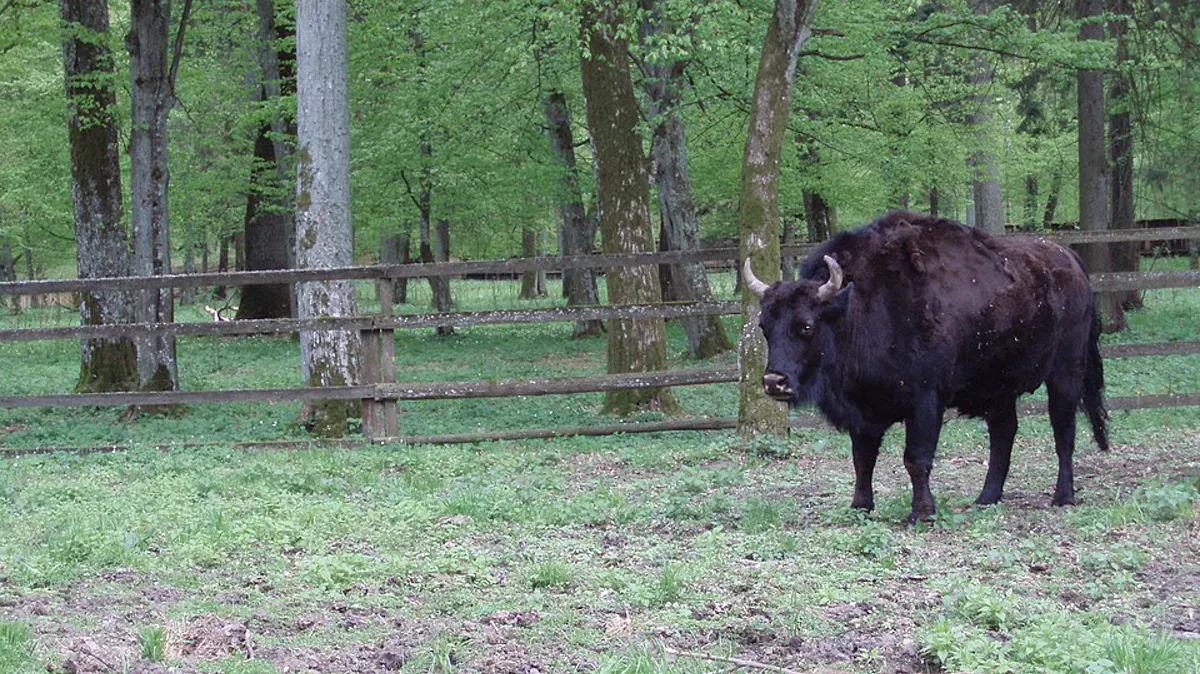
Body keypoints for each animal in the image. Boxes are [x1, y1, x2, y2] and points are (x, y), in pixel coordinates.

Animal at [743, 212, 1108, 522]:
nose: (774, 381)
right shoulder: (863, 409)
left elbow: (916, 458)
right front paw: (860, 507)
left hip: (1065, 374)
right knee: (1003, 433)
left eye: (805, 325)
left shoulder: (925, 400)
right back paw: (986, 498)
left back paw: (1063, 497)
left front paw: (922, 513)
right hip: (1000, 388)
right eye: (764, 326)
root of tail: (1072, 263)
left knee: (1063, 431)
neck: (853, 306)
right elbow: (863, 459)